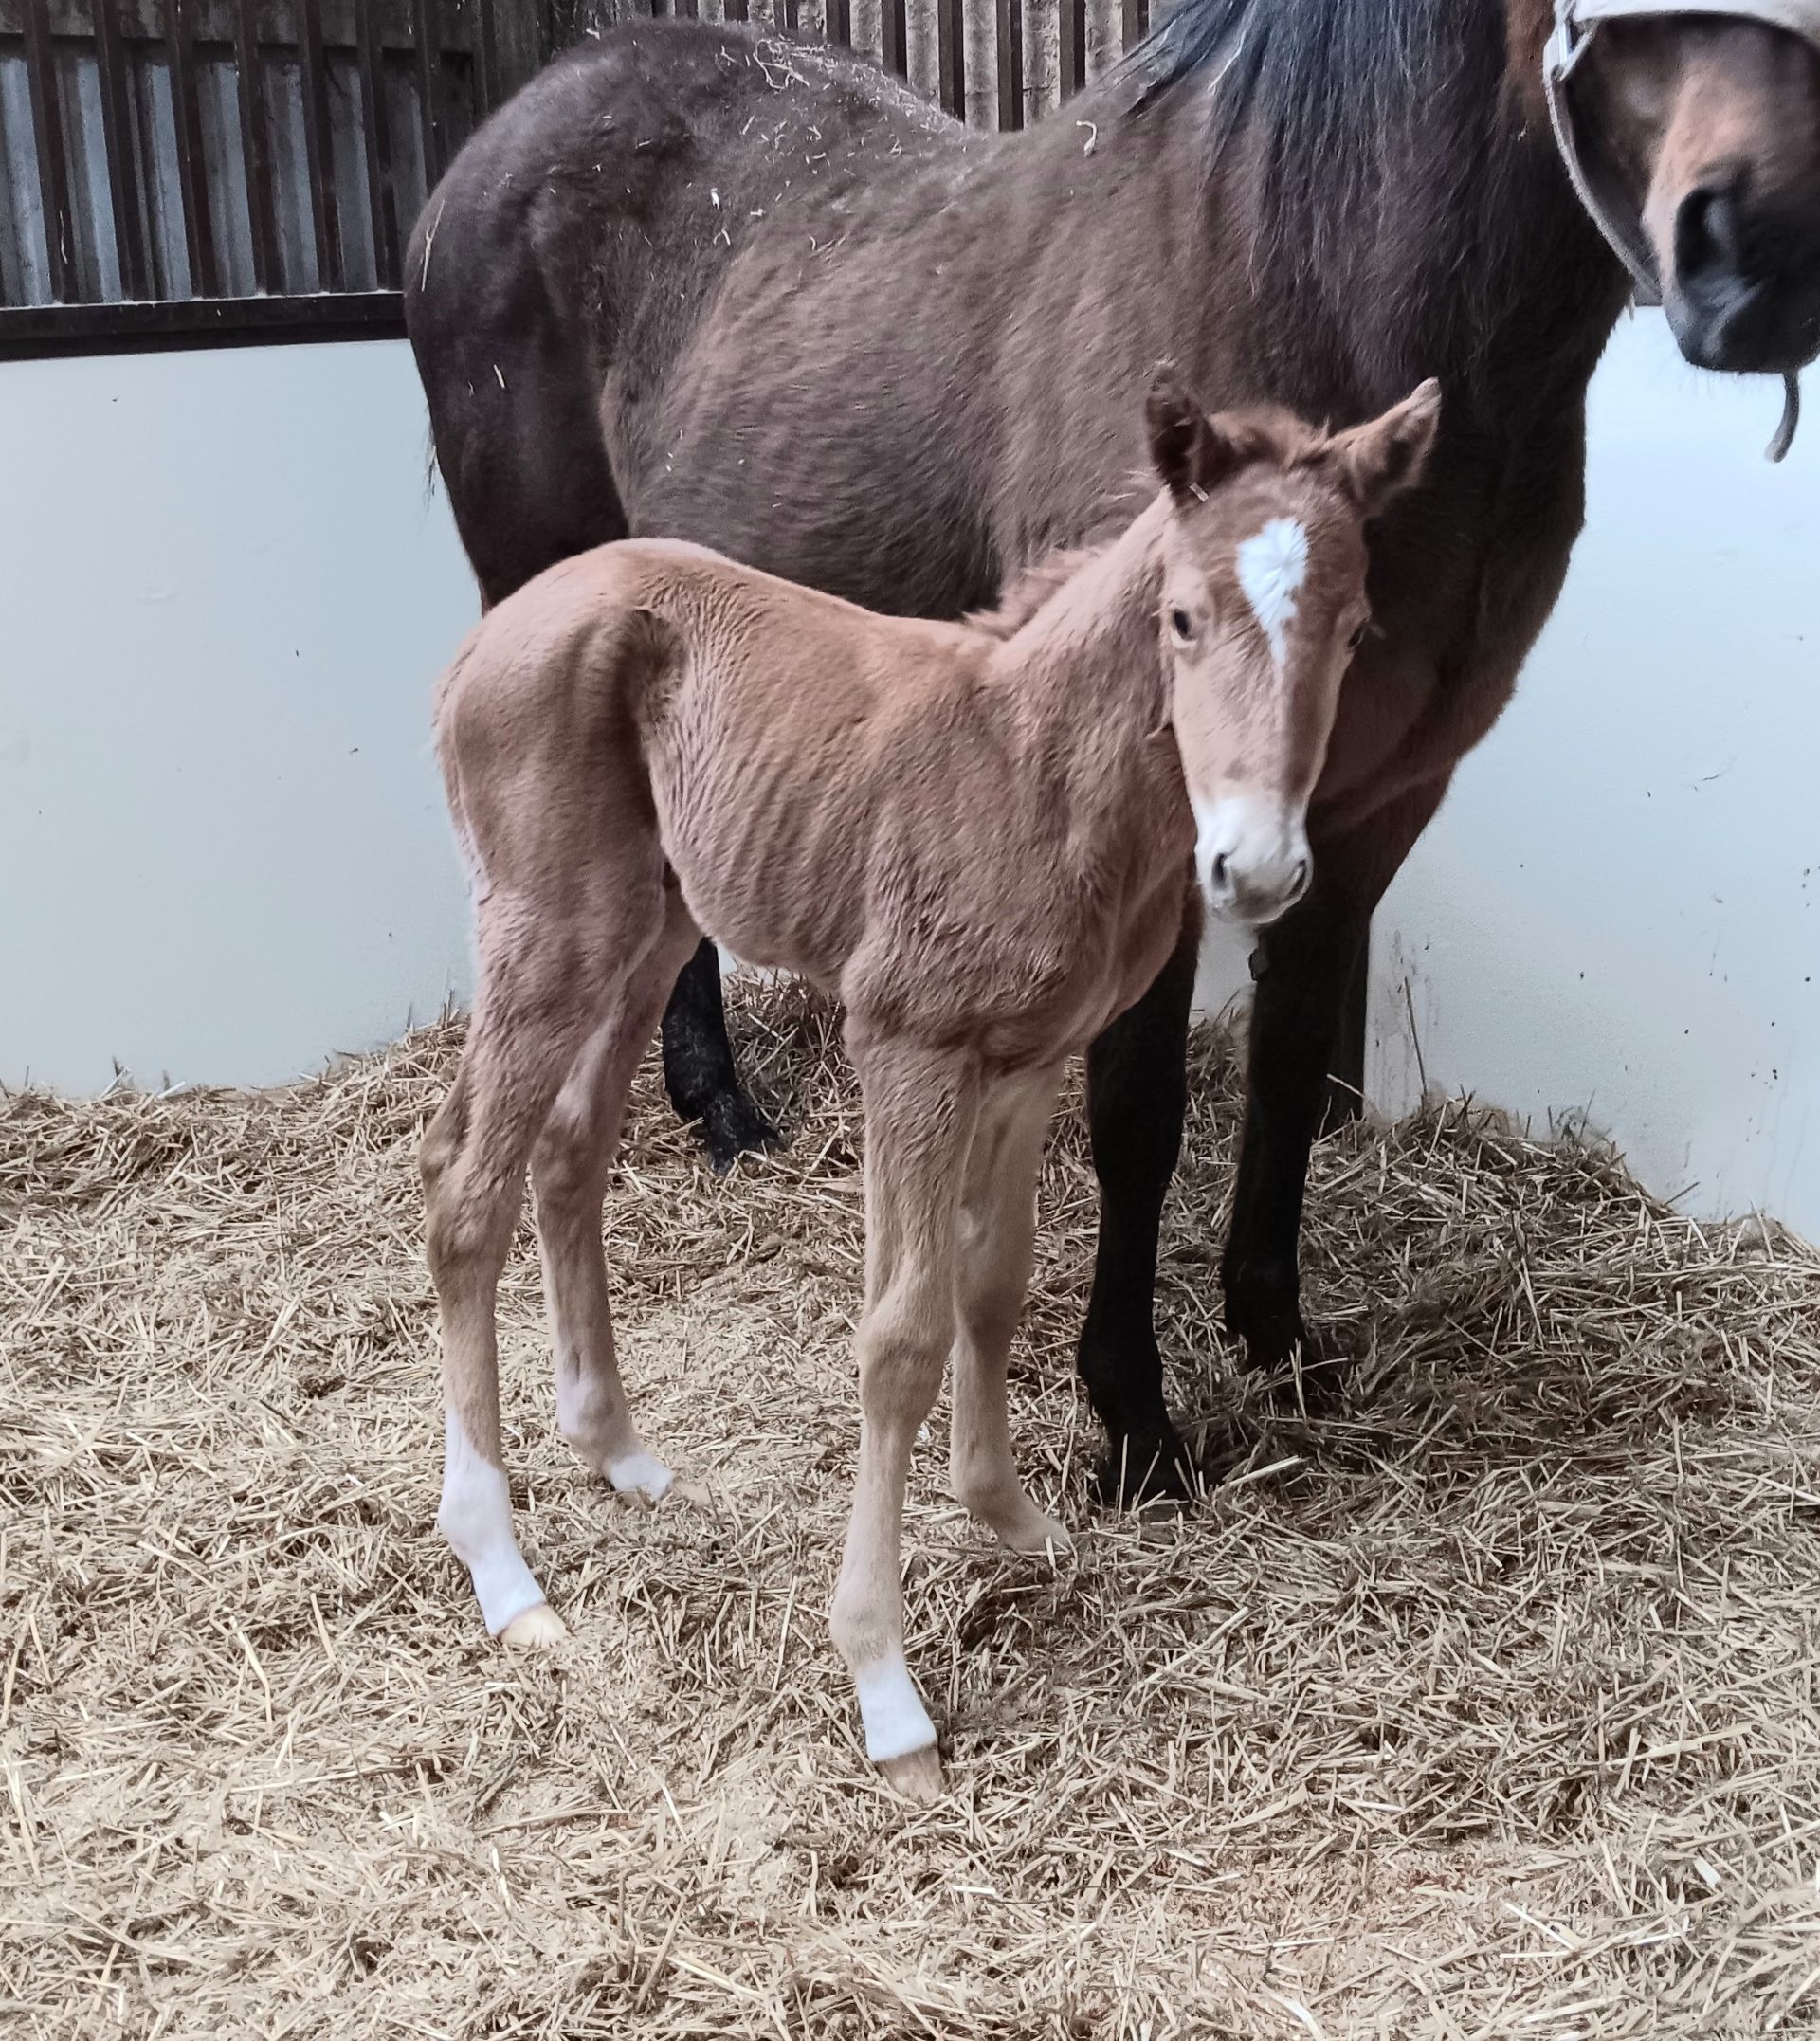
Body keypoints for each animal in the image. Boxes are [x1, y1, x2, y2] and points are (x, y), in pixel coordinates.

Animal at [405, 0, 1820, 1502]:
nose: (1762, 242)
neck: (1317, 280)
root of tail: (500, 137)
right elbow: (1140, 1108)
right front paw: (1134, 1417)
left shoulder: (1370, 810)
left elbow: (1286, 1062)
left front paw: (1277, 1334)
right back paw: (721, 1116)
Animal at [421, 377, 1440, 1797]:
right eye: (1183, 616)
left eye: (1354, 627)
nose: (1258, 869)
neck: (1034, 770)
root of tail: (483, 640)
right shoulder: (907, 1043)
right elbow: (898, 1335)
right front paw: (886, 1687)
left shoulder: (1024, 1058)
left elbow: (992, 1285)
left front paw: (1012, 1520)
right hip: (548, 928)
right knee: (465, 1195)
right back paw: (501, 1569)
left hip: (654, 920)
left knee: (569, 1153)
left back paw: (619, 1452)